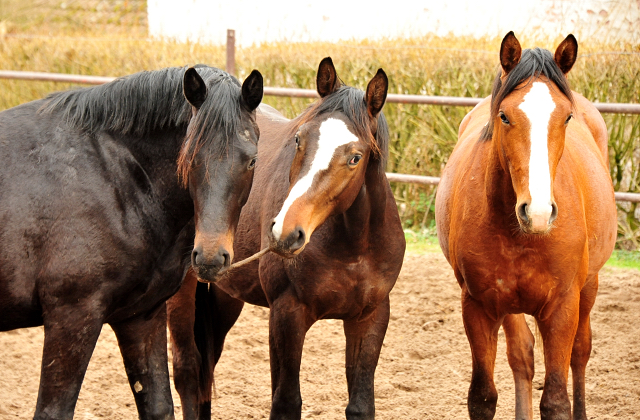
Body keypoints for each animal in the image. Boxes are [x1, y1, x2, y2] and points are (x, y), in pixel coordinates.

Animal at [0, 64, 262, 418]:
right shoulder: (71, 319)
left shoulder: (140, 317)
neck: (112, 175)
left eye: (252, 160)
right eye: (189, 158)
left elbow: (159, 407)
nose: (209, 258)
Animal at [168, 57, 402, 418]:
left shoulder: (370, 317)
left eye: (355, 157)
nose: (285, 232)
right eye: (298, 140)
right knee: (188, 372)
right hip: (183, 293)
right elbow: (287, 402)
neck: (353, 248)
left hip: (226, 295)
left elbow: (360, 405)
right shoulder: (288, 314)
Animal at [436, 32, 620, 420]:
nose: (536, 212)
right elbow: (483, 397)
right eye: (504, 116)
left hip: (589, 286)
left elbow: (556, 400)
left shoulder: (562, 307)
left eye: (566, 118)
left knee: (580, 351)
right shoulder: (479, 306)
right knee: (522, 355)